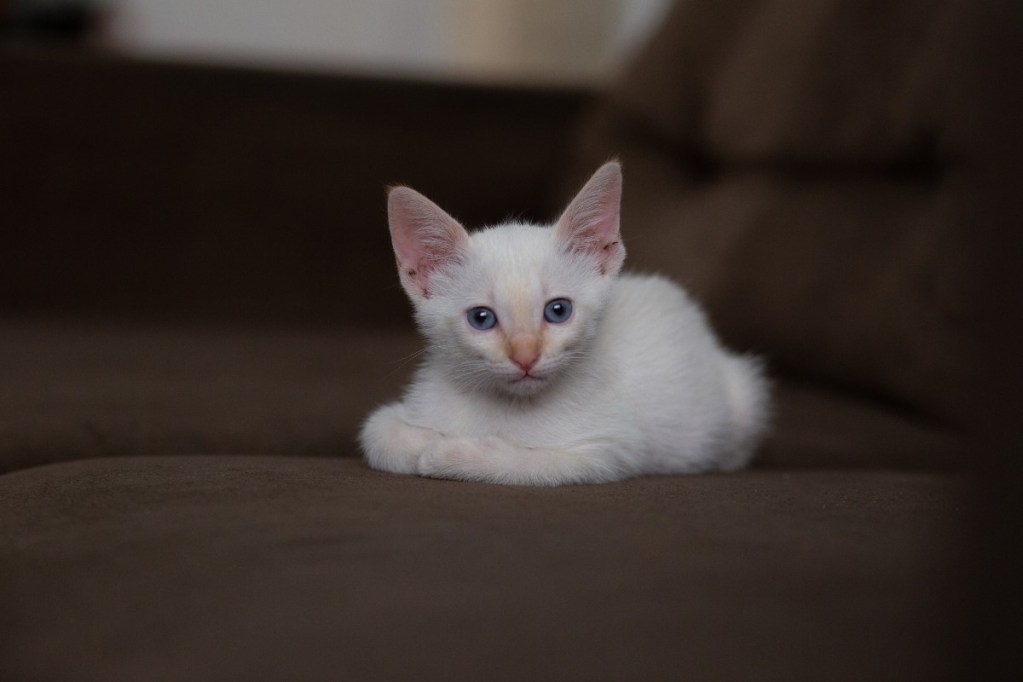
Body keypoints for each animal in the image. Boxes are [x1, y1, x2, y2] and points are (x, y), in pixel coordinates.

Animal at [360, 162, 769, 484]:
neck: (510, 405)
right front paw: (426, 441)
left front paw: (450, 452)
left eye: (558, 311)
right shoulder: (401, 410)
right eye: (481, 318)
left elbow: (531, 463)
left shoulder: (609, 448)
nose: (525, 356)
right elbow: (377, 434)